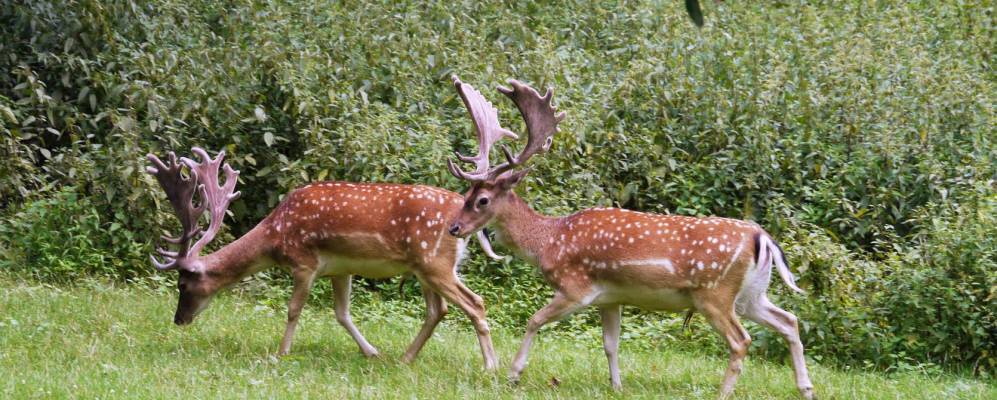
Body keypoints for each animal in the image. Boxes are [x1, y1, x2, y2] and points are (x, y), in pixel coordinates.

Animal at [144, 147, 502, 368]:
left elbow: (293, 310)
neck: (275, 234)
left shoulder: (304, 262)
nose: (179, 320)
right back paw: (404, 358)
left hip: (435, 263)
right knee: (438, 310)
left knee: (475, 303)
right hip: (425, 268)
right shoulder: (340, 269)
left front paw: (282, 352)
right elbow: (342, 314)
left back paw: (490, 365)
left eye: (183, 284)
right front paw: (371, 352)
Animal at [442, 76, 808, 398]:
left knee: (742, 340)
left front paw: (514, 374)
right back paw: (806, 388)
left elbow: (534, 320)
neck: (549, 240)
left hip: (714, 293)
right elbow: (610, 344)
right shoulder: (610, 297)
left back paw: (724, 393)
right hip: (750, 295)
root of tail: (761, 237)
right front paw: (617, 386)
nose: (454, 228)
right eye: (466, 193)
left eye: (482, 200)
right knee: (789, 320)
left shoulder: (576, 288)